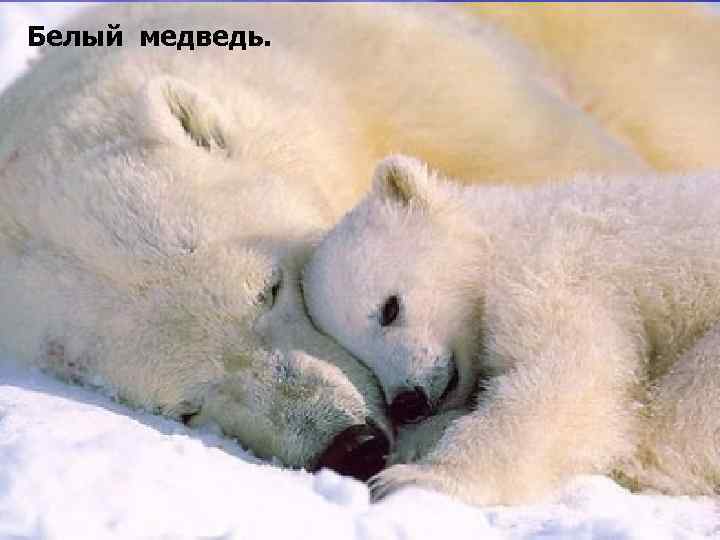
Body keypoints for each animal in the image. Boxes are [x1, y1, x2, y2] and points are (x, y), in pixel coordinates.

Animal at [303, 154, 720, 505]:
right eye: (359, 356)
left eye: (389, 308)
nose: (407, 402)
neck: (506, 232)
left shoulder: (553, 270)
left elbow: (565, 379)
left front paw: (412, 478)